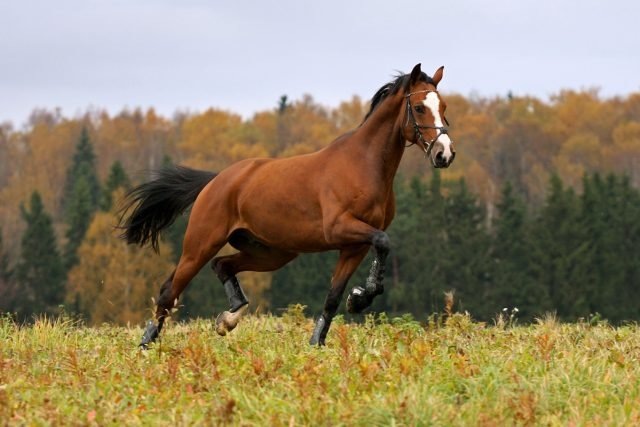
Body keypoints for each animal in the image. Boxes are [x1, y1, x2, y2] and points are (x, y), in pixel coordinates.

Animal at [119, 63, 455, 348]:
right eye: (419, 107)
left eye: (443, 108)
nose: (445, 154)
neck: (363, 165)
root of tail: (216, 181)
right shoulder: (340, 230)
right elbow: (384, 241)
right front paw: (360, 297)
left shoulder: (354, 246)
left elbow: (334, 296)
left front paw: (324, 336)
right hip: (200, 244)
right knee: (170, 291)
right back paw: (146, 346)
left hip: (272, 252)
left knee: (222, 265)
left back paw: (228, 318)